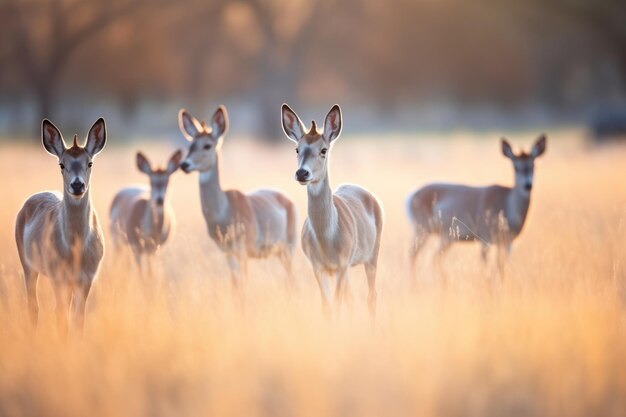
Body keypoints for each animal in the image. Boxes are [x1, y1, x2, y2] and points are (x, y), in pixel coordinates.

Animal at [14, 118, 106, 332]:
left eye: (90, 162)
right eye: (61, 164)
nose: (77, 185)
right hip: (27, 262)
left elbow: (78, 318)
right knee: (33, 306)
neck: (75, 249)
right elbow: (61, 316)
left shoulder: (87, 277)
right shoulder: (57, 275)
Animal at [177, 105, 296, 288]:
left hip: (289, 246)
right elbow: (235, 283)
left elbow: (243, 283)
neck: (223, 214)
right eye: (191, 145)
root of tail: (288, 200)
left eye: (207, 145)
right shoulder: (227, 251)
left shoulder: (243, 248)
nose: (184, 165)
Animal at [282, 103, 380, 316]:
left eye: (323, 150)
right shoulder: (318, 267)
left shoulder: (342, 265)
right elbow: (328, 306)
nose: (302, 173)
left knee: (371, 297)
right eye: (297, 149)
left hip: (372, 255)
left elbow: (337, 304)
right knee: (352, 299)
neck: (326, 240)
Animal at [402, 135, 544, 276]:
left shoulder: (508, 241)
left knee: (435, 256)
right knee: (413, 254)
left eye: (534, 165)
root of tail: (410, 197)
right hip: (422, 229)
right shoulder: (485, 237)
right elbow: (485, 266)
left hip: (445, 236)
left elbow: (501, 267)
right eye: (516, 167)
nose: (528, 185)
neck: (507, 205)